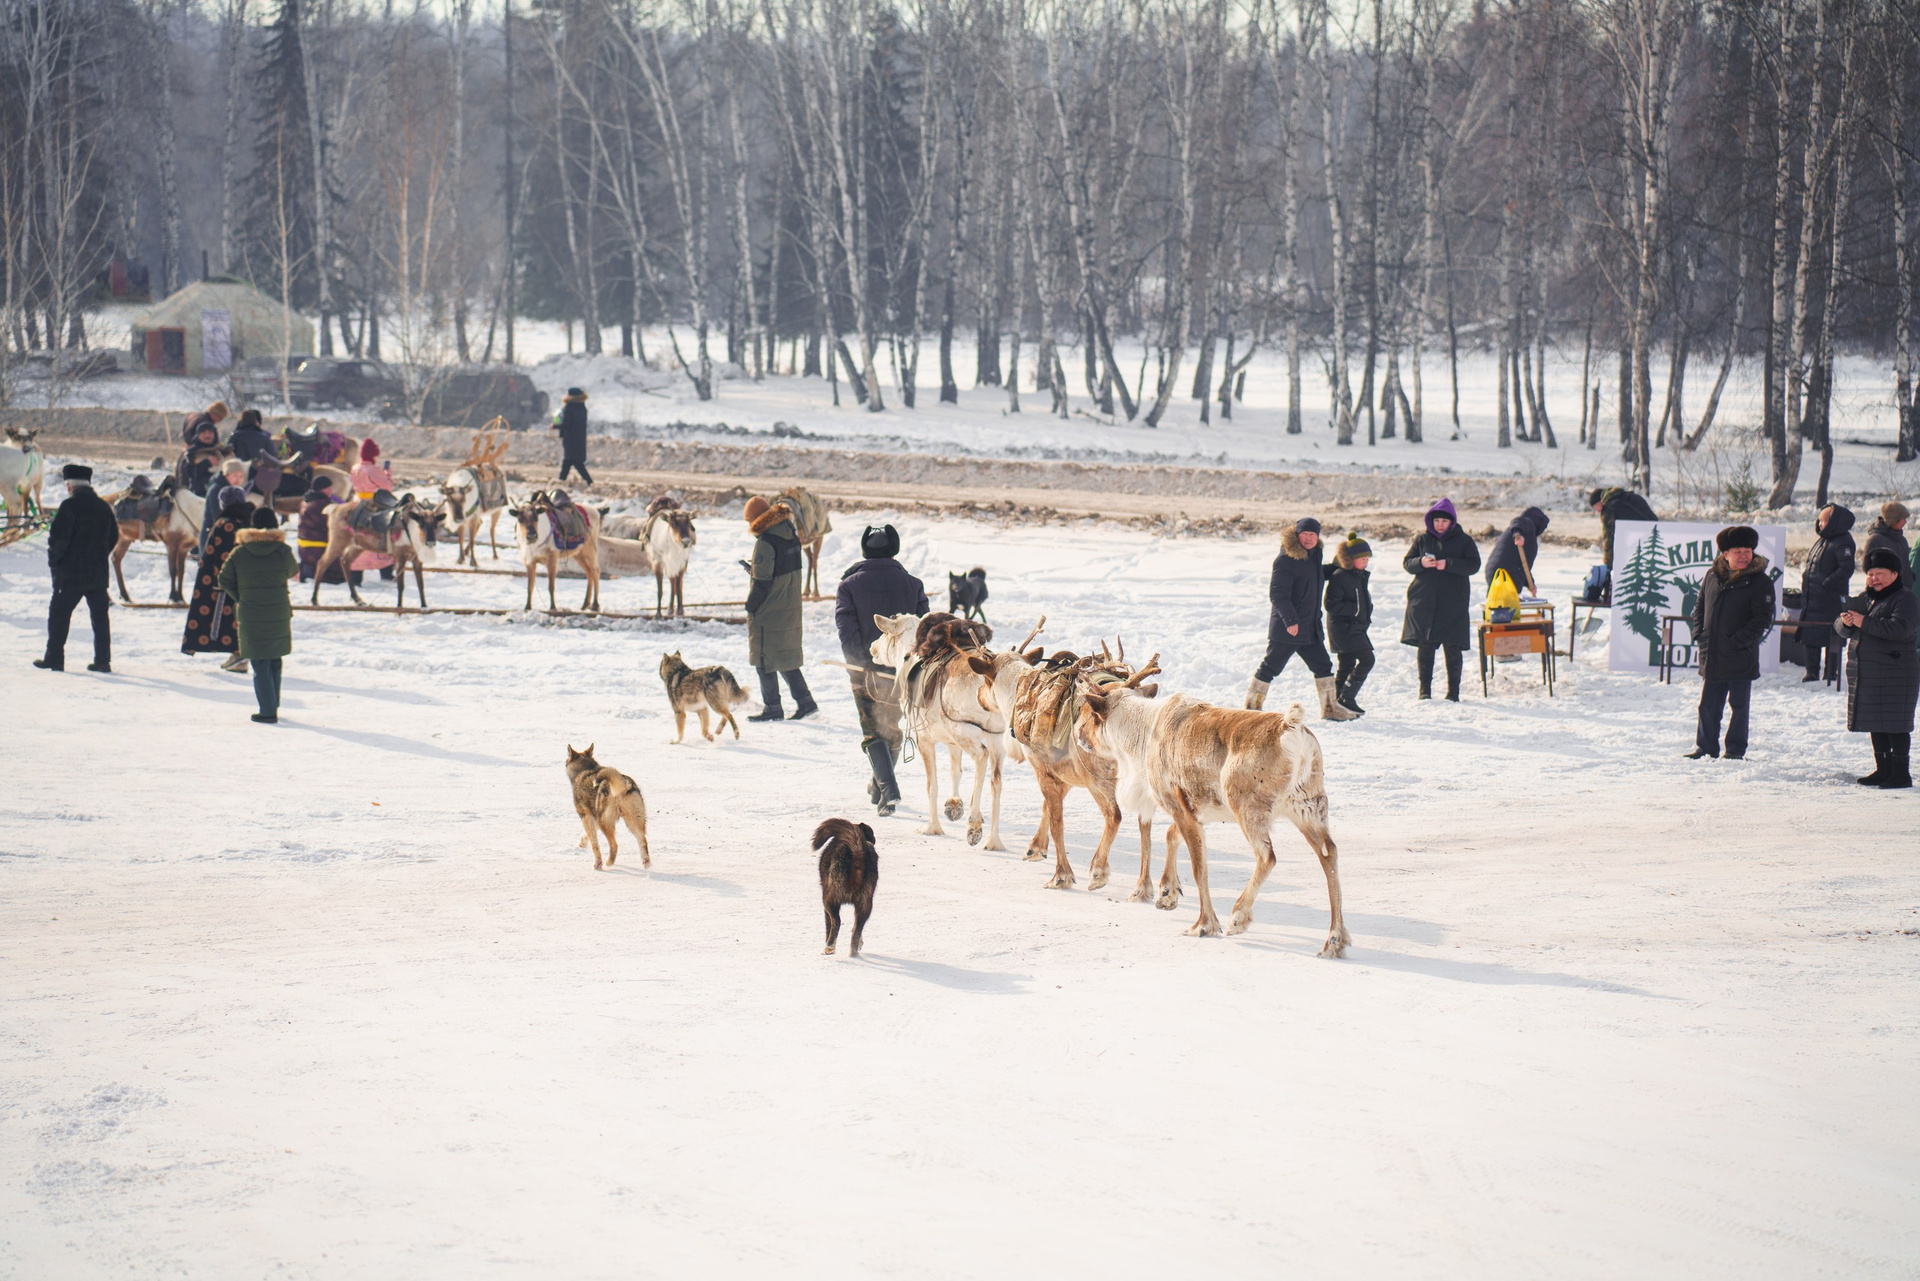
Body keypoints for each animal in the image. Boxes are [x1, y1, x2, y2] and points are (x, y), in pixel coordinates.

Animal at [814, 818, 878, 956]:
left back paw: (829, 948)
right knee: (857, 929)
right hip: (865, 904)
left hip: (830, 899)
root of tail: (858, 853)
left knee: (836, 922)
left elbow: (828, 925)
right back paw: (853, 953)